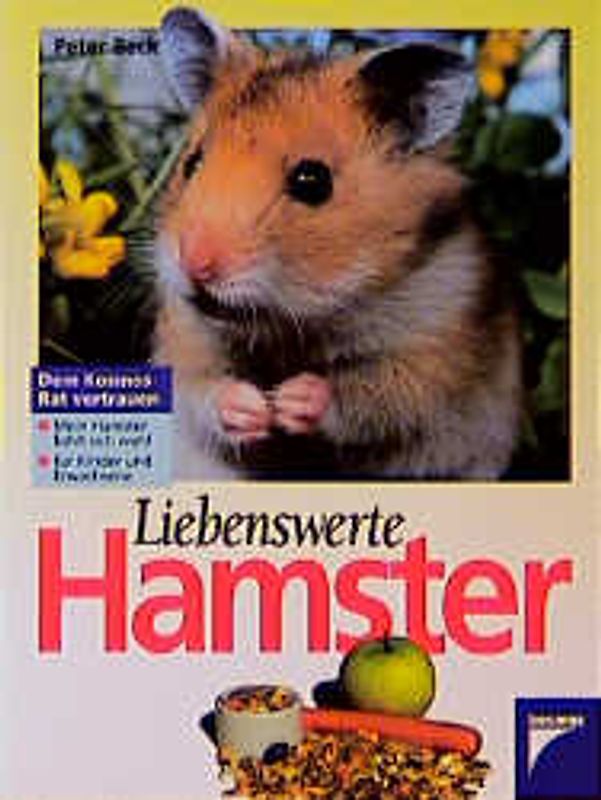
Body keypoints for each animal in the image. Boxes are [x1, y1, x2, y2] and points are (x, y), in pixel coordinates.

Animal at [155, 8, 522, 480]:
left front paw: (288, 401)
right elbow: (202, 388)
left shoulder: (436, 353)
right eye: (192, 162)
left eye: (313, 182)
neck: (294, 326)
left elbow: (372, 393)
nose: (193, 264)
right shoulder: (183, 342)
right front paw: (254, 408)